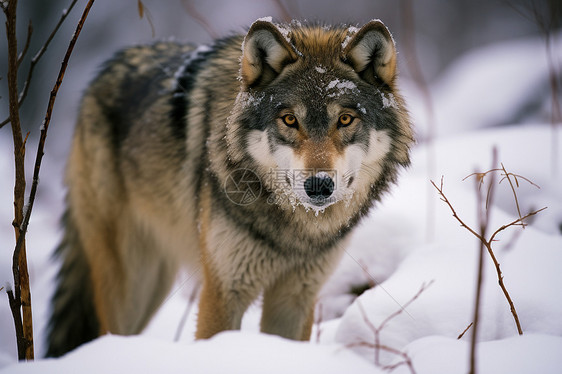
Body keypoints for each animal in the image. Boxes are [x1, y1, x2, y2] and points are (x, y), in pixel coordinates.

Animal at [46, 17, 412, 356]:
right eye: (289, 120)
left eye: (345, 119)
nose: (319, 185)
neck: (294, 231)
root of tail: (104, 71)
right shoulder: (222, 292)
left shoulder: (296, 296)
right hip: (129, 283)